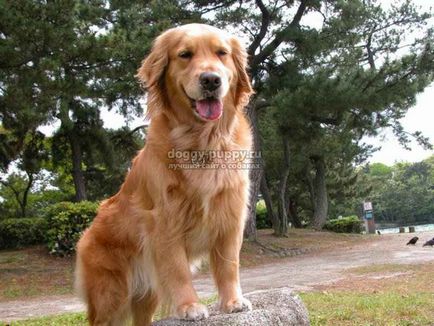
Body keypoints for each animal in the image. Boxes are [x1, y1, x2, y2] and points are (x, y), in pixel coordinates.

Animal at [76, 23, 254, 326]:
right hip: (110, 294)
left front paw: (233, 301)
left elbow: (229, 264)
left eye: (221, 53)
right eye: (185, 55)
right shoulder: (164, 221)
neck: (202, 142)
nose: (210, 80)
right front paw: (189, 306)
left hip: (146, 295)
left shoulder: (230, 213)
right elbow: (178, 269)